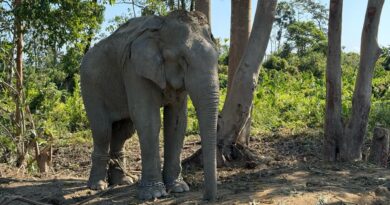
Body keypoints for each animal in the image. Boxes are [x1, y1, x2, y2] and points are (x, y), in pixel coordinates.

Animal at [79, 10, 219, 201]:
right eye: (183, 59)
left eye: (218, 58)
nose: (206, 198)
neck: (162, 25)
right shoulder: (134, 69)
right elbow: (147, 119)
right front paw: (154, 194)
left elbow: (177, 122)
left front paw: (179, 188)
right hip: (90, 86)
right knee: (102, 130)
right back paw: (97, 186)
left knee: (123, 130)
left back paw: (123, 181)